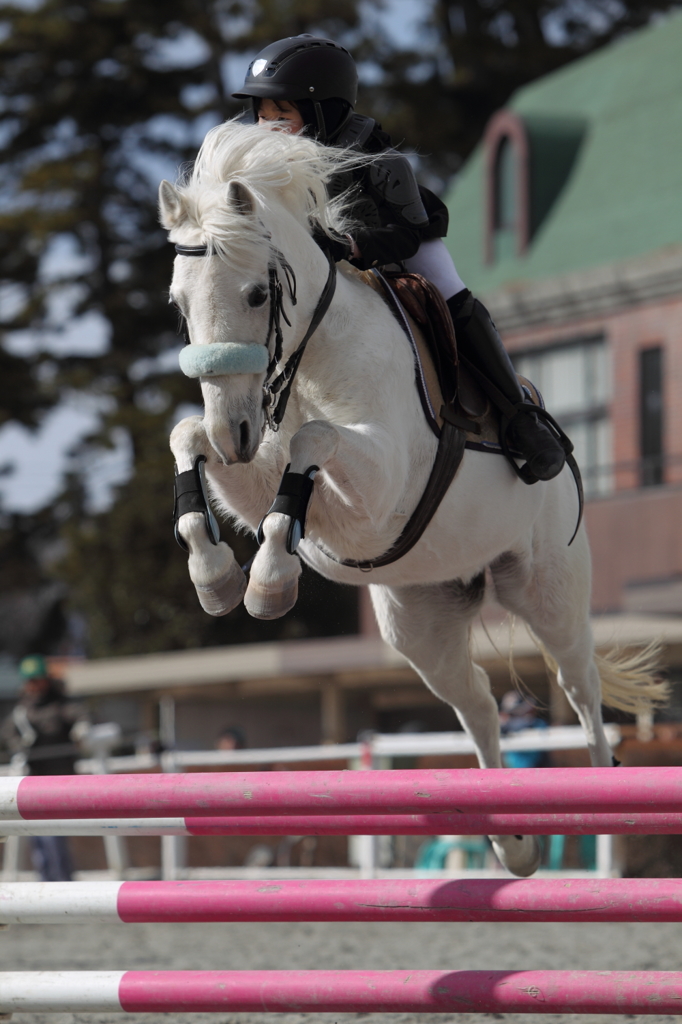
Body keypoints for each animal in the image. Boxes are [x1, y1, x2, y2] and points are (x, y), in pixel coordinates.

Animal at [160, 117, 663, 872]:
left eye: (254, 294)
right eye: (180, 304)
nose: (237, 432)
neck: (311, 359)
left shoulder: (379, 487)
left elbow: (312, 441)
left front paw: (270, 580)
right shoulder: (257, 477)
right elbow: (189, 437)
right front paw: (216, 576)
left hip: (549, 589)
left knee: (579, 684)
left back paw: (600, 791)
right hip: (420, 622)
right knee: (477, 703)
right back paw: (511, 840)